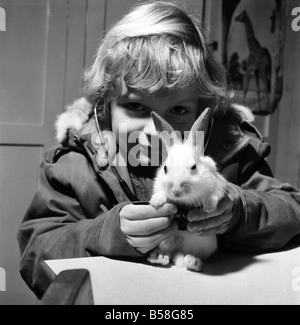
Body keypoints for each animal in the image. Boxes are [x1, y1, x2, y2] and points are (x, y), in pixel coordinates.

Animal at [148, 108, 227, 270]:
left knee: (189, 255)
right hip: (165, 240)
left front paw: (209, 208)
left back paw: (192, 261)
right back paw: (159, 257)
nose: (176, 191)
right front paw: (156, 202)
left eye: (194, 167)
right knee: (169, 251)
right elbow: (159, 192)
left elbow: (213, 195)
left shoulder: (218, 184)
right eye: (165, 168)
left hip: (202, 243)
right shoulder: (159, 183)